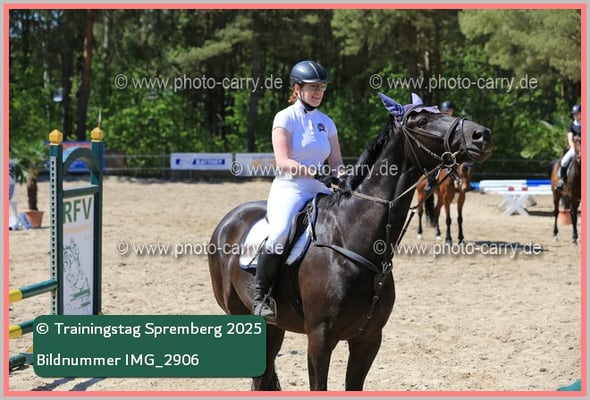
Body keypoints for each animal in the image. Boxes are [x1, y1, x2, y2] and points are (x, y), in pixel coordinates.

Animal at [207, 93, 493, 391]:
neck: (353, 238)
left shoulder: (368, 340)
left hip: (275, 328)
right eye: (423, 121)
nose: (482, 135)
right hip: (242, 317)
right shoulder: (320, 339)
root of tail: (228, 220)